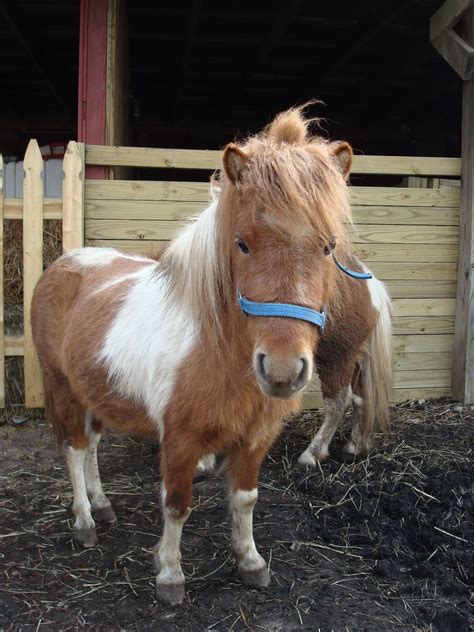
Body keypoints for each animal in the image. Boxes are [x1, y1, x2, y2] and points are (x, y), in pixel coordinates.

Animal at [32, 106, 392, 604]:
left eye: (328, 246)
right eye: (242, 243)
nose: (281, 370)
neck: (218, 353)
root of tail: (64, 263)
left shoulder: (256, 439)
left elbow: (244, 500)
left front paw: (251, 562)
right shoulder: (179, 441)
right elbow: (177, 505)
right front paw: (170, 576)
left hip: (95, 391)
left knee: (92, 450)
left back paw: (102, 505)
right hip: (63, 387)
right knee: (75, 449)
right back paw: (85, 521)